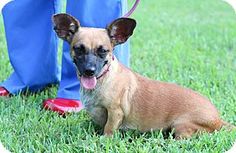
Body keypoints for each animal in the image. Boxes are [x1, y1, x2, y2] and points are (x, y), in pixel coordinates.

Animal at [53, 13, 234, 139]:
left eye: (103, 51)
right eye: (78, 49)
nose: (89, 71)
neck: (103, 79)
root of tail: (218, 120)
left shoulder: (115, 113)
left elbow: (109, 129)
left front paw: (103, 139)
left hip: (181, 125)